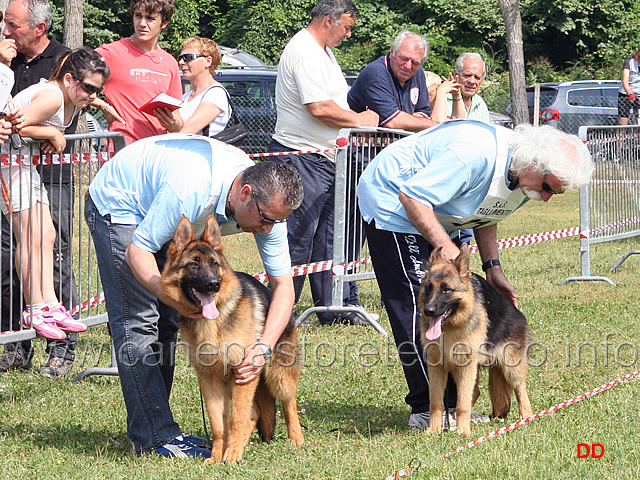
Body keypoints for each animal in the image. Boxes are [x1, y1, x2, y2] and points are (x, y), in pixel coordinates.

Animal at [164, 217, 306, 462]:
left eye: (214, 264)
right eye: (193, 264)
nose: (213, 284)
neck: (213, 321)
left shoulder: (243, 372)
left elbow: (236, 417)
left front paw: (232, 455)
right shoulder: (210, 380)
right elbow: (219, 424)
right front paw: (217, 455)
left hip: (278, 377)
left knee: (288, 405)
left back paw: (296, 438)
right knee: (255, 412)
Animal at [418, 244, 532, 436]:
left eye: (446, 289)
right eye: (428, 288)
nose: (429, 310)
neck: (450, 328)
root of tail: (515, 310)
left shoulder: (466, 367)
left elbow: (462, 403)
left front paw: (463, 432)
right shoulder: (436, 367)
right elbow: (436, 402)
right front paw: (434, 429)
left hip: (510, 366)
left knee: (520, 387)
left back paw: (527, 416)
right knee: (476, 391)